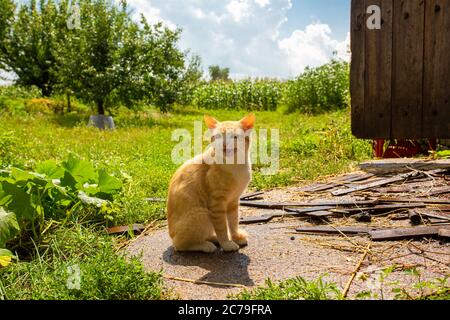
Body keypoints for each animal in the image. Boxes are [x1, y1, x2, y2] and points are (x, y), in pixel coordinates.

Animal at [167, 114, 255, 252]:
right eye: (218, 137)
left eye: (234, 137)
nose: (224, 145)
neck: (235, 165)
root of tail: (171, 235)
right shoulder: (217, 205)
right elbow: (222, 227)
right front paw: (226, 243)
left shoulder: (233, 201)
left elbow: (233, 222)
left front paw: (236, 237)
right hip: (202, 214)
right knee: (180, 245)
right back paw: (206, 245)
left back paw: (213, 238)